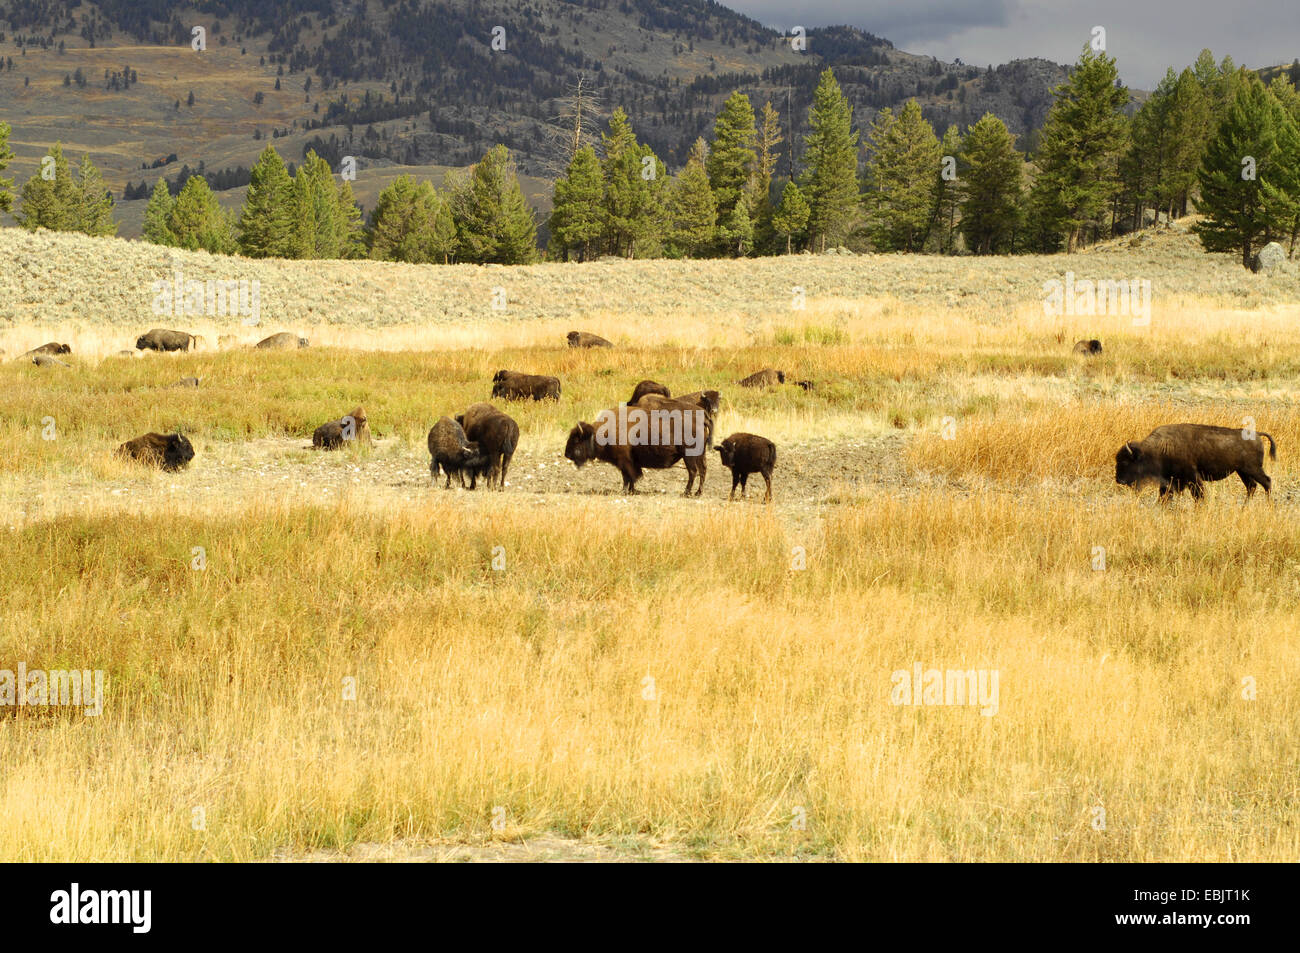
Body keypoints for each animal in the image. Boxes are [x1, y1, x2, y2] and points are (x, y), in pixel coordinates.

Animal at [1115, 423, 1276, 502]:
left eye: (1125, 462)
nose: (1119, 480)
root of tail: (1257, 434)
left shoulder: (1192, 477)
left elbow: (1199, 495)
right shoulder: (1170, 481)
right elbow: (1164, 495)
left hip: (1252, 469)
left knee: (1266, 482)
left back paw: (1269, 506)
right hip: (1242, 471)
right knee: (1252, 486)